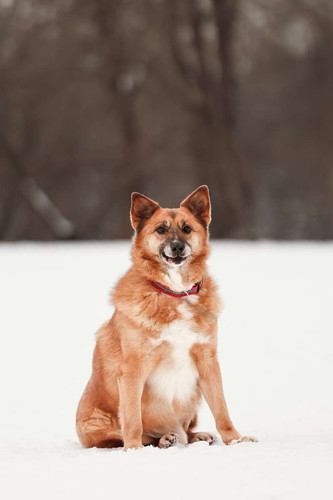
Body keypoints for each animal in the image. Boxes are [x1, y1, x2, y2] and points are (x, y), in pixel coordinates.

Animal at [76, 185, 255, 450]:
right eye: (160, 229)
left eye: (187, 228)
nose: (178, 247)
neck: (175, 292)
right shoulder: (132, 368)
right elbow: (132, 418)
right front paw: (133, 449)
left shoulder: (207, 360)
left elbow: (222, 409)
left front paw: (235, 439)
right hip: (97, 424)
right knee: (136, 434)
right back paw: (162, 440)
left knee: (186, 431)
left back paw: (193, 436)